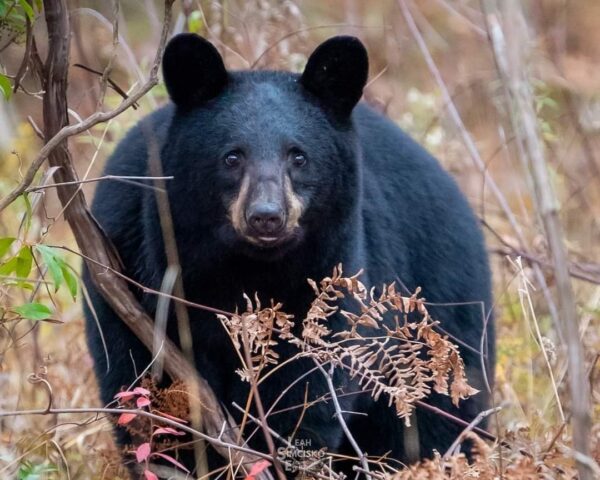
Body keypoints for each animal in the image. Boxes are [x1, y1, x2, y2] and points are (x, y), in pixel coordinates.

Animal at [83, 32, 492, 476]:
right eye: (232, 156)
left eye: (298, 156)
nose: (266, 217)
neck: (243, 271)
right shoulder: (133, 279)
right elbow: (146, 394)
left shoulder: (328, 275)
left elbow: (305, 395)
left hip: (440, 318)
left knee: (440, 417)